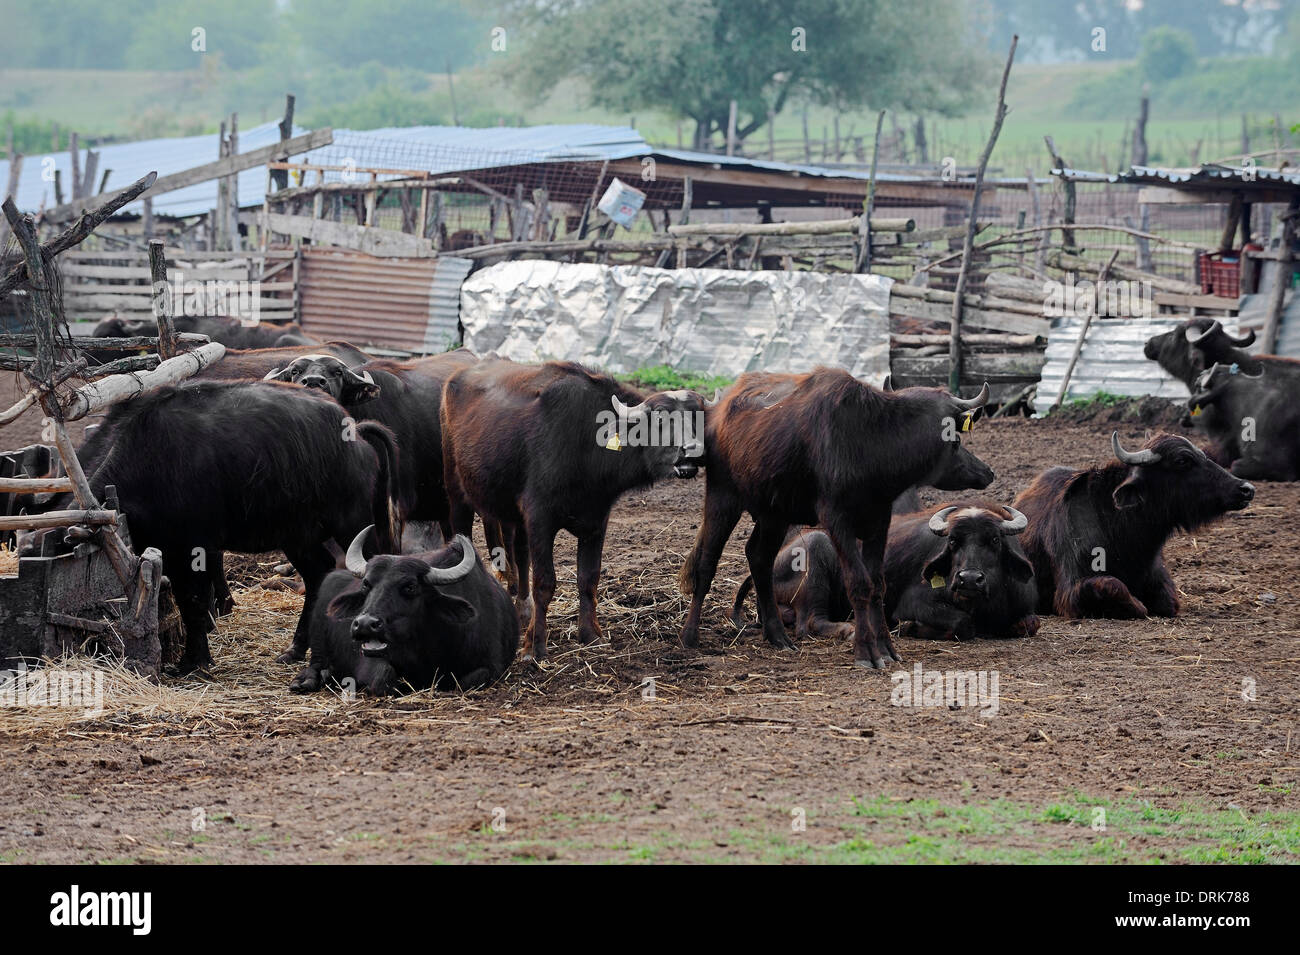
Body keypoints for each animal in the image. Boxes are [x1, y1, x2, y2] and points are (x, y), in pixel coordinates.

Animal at [289, 522, 517, 696]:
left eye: (410, 587)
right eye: (366, 584)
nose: (365, 625)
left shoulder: (491, 666)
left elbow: (469, 680)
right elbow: (384, 676)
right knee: (316, 662)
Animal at [441, 356, 707, 660]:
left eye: (697, 418)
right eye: (661, 418)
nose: (691, 451)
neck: (586, 445)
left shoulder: (596, 521)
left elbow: (588, 578)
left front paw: (590, 634)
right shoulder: (540, 518)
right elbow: (545, 582)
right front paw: (534, 646)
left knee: (520, 555)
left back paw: (523, 609)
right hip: (457, 494)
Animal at [681, 369, 993, 670]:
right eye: (955, 435)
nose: (987, 472)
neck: (872, 443)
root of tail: (719, 412)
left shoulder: (879, 521)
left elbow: (877, 584)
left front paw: (886, 649)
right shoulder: (836, 520)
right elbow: (858, 583)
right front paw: (866, 652)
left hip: (774, 514)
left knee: (759, 558)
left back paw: (778, 636)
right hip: (723, 496)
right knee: (707, 562)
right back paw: (689, 635)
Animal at [883, 504, 1034, 639]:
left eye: (995, 539)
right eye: (952, 540)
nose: (969, 579)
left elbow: (1032, 623)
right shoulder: (911, 602)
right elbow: (963, 622)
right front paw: (908, 626)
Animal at [1008, 433, 1253, 621]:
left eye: (1203, 455)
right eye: (1182, 460)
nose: (1247, 489)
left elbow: (1168, 602)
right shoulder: (1071, 592)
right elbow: (1116, 587)